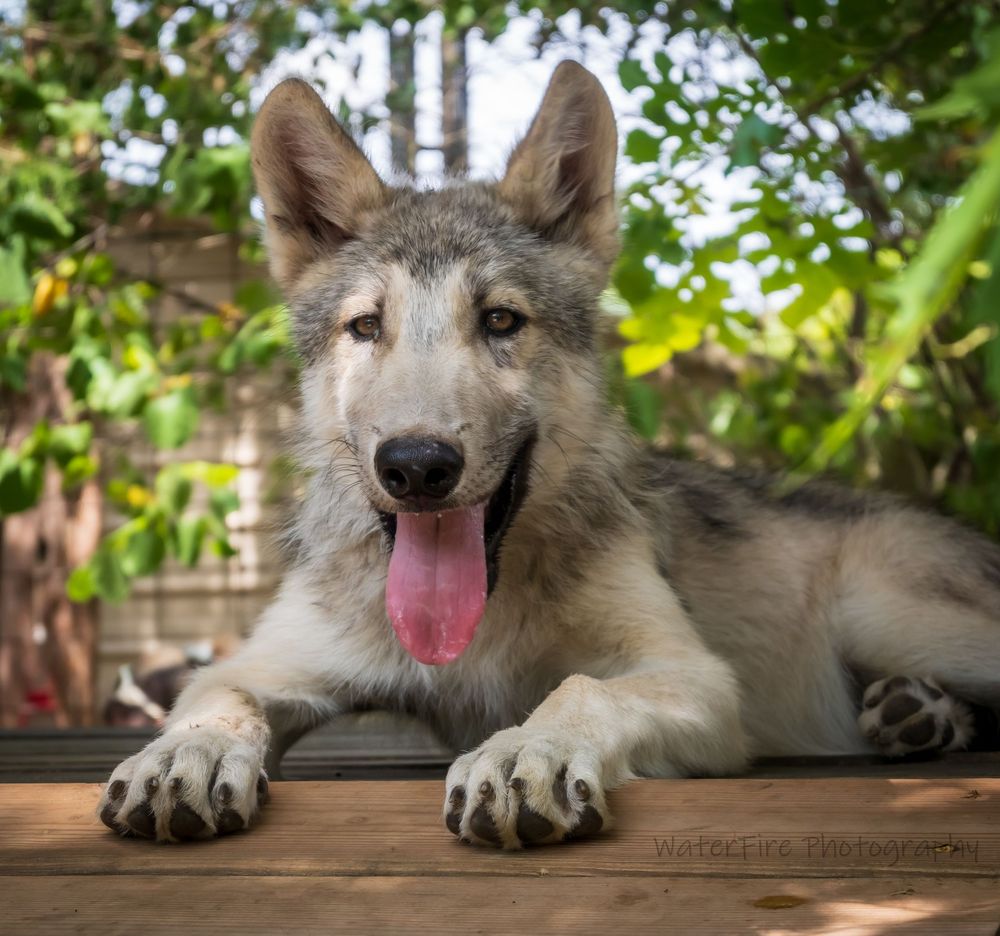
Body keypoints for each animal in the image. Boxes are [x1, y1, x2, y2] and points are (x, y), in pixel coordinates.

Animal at [98, 61, 1000, 848]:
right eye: (367, 326)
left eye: (501, 320)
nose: (416, 467)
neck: (480, 629)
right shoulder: (261, 664)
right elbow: (218, 703)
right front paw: (185, 755)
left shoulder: (697, 677)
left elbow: (579, 687)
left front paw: (524, 752)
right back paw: (918, 716)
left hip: (892, 616)